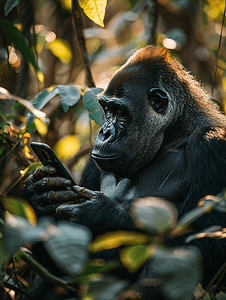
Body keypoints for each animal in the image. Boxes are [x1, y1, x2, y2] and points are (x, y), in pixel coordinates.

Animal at [22, 45, 226, 298]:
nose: (104, 133)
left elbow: (207, 235)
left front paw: (104, 213)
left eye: (119, 111)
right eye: (106, 109)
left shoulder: (213, 146)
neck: (174, 134)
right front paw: (37, 197)